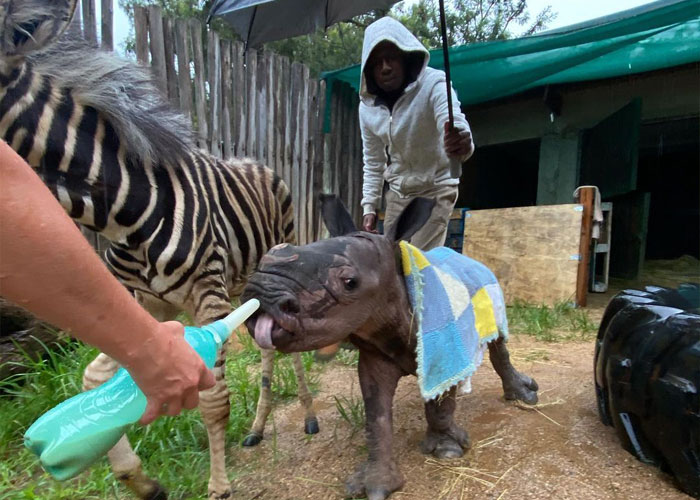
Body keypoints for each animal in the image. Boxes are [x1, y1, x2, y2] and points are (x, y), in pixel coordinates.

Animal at [0, 1, 318, 498]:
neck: (124, 213)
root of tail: (260, 164)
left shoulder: (207, 298)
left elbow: (214, 399)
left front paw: (218, 485)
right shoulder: (146, 303)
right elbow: (94, 377)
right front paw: (136, 476)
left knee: (286, 348)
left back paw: (306, 416)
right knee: (267, 345)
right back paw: (257, 427)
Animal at [241, 195, 536, 500]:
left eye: (350, 283)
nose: (261, 291)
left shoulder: (447, 350)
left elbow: (441, 404)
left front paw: (447, 451)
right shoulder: (374, 354)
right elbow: (377, 415)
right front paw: (377, 484)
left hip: (492, 290)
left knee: (498, 339)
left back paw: (524, 396)